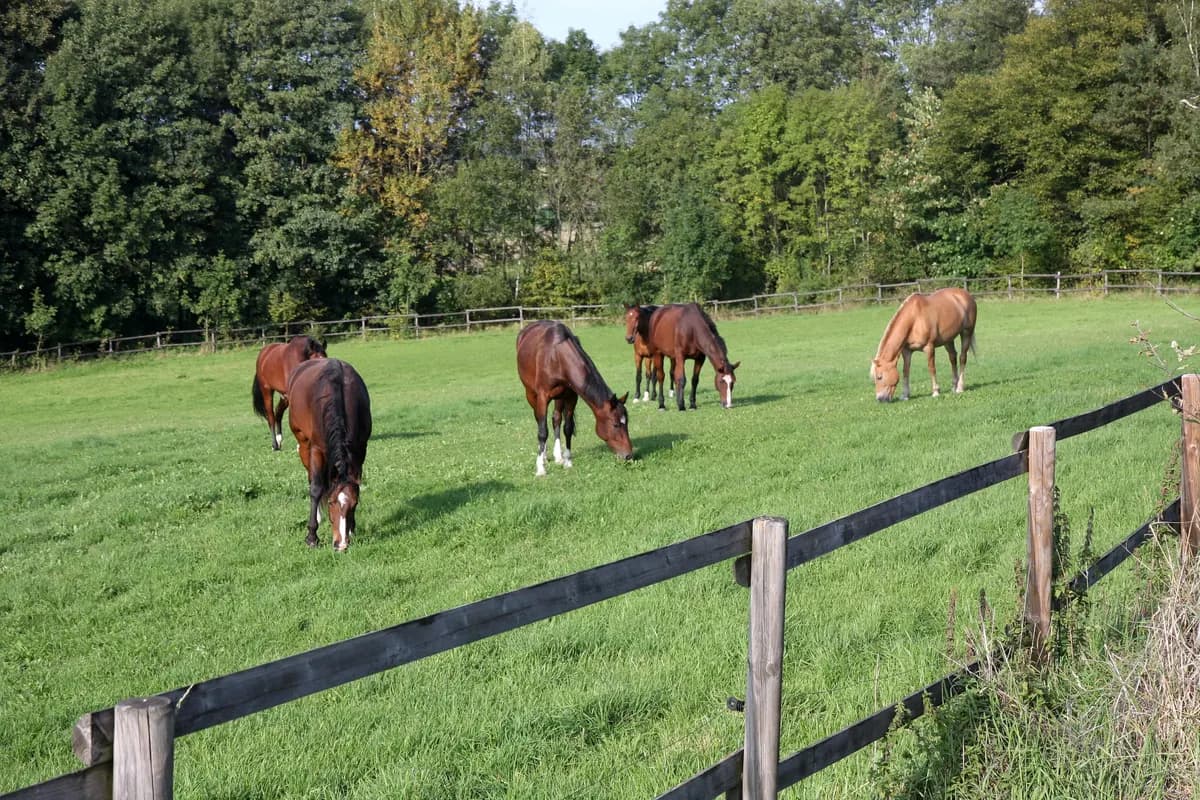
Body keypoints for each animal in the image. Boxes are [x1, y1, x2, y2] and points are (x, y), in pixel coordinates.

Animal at [286, 358, 371, 551]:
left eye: (354, 505)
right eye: (332, 503)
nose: (341, 544)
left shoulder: (361, 448)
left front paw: (352, 528)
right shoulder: (317, 449)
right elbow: (316, 488)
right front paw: (312, 536)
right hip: (304, 444)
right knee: (312, 479)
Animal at [516, 320, 633, 476]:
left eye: (626, 423)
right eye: (615, 425)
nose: (628, 455)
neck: (556, 356)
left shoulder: (571, 397)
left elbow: (568, 428)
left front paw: (567, 461)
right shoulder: (542, 397)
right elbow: (542, 431)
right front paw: (540, 468)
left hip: (559, 397)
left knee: (556, 418)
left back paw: (558, 456)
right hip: (531, 394)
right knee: (540, 420)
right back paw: (544, 456)